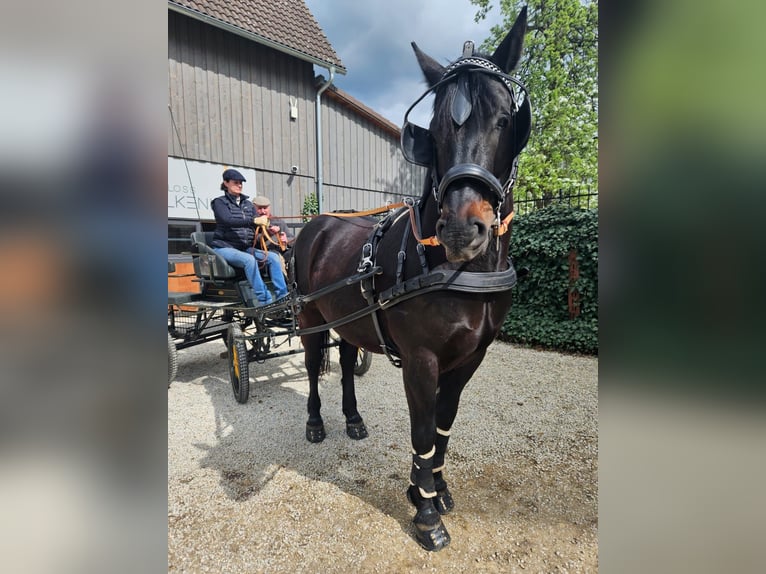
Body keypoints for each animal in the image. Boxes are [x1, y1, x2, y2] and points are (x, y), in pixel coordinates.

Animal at [292, 5, 532, 552]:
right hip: (310, 314)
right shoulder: (420, 359)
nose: (463, 227)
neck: (456, 269)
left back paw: (353, 419)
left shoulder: (470, 358)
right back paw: (316, 422)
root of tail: (315, 224)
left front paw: (434, 489)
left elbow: (442, 426)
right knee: (315, 364)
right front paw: (425, 513)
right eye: (434, 129)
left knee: (346, 358)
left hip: (349, 317)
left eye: (506, 119)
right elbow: (422, 432)